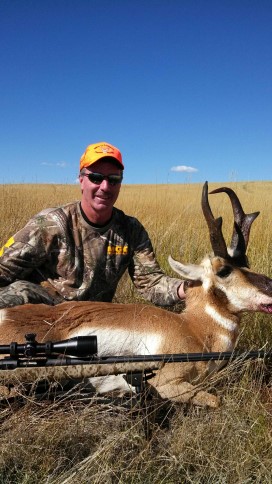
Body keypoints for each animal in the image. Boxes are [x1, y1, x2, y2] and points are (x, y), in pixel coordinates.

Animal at [0, 182, 272, 408]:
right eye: (224, 270)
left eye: (246, 263)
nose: (270, 288)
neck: (193, 327)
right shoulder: (167, 383)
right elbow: (217, 400)